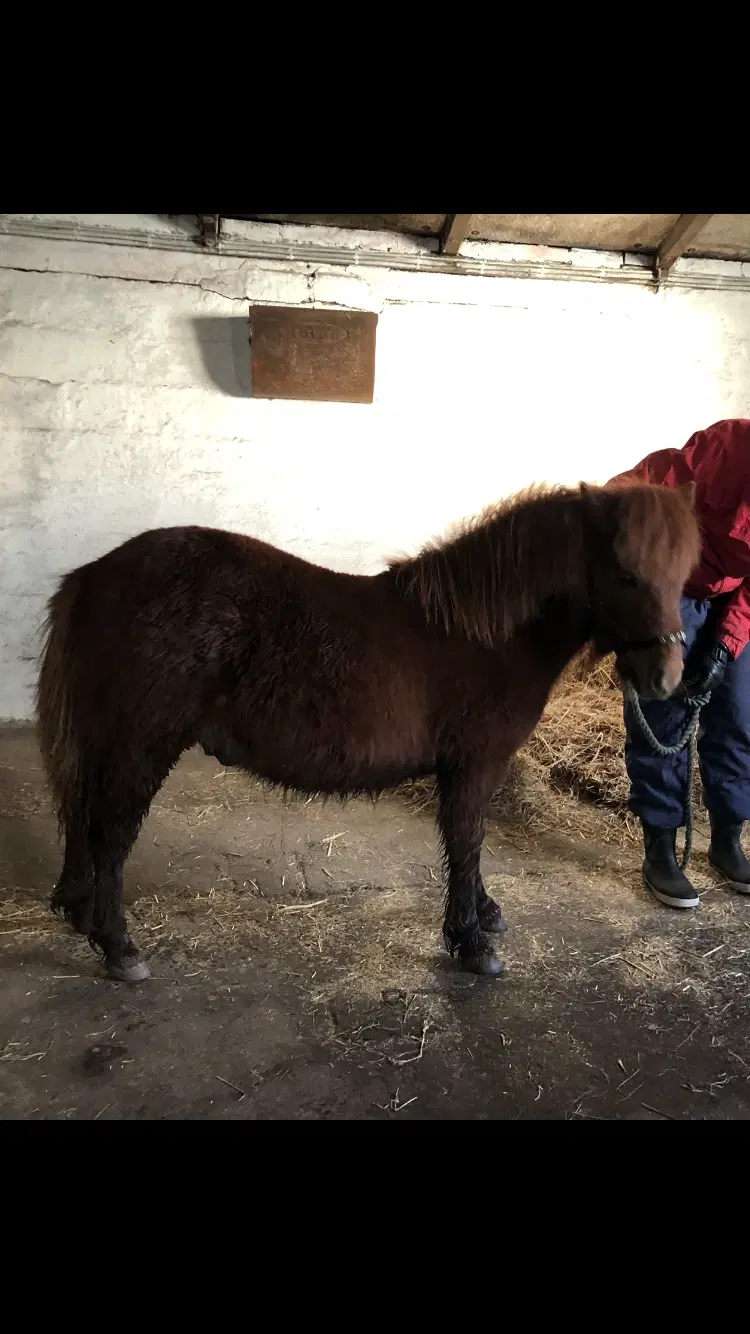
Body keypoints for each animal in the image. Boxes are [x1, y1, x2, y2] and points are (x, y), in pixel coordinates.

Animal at [38, 480, 699, 981]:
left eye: (684, 575)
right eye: (625, 574)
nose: (666, 679)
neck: (487, 633)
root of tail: (95, 575)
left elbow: (472, 843)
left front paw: (483, 914)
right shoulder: (473, 764)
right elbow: (466, 840)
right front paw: (471, 942)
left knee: (83, 817)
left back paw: (80, 911)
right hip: (141, 744)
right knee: (110, 834)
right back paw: (119, 947)